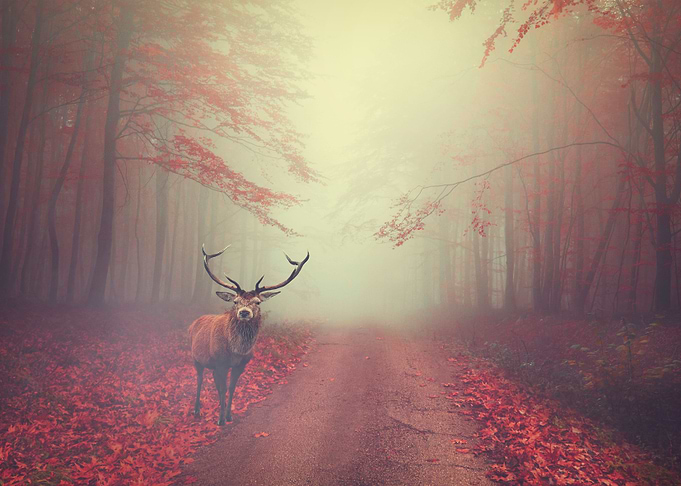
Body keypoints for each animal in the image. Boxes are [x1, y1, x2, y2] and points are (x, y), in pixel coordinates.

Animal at [189, 244, 309, 425]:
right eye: (235, 301)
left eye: (257, 302)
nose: (244, 312)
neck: (236, 351)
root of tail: (194, 323)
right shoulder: (221, 363)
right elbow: (223, 388)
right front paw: (220, 420)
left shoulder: (241, 365)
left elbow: (231, 388)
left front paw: (229, 415)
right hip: (196, 358)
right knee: (200, 379)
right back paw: (196, 409)